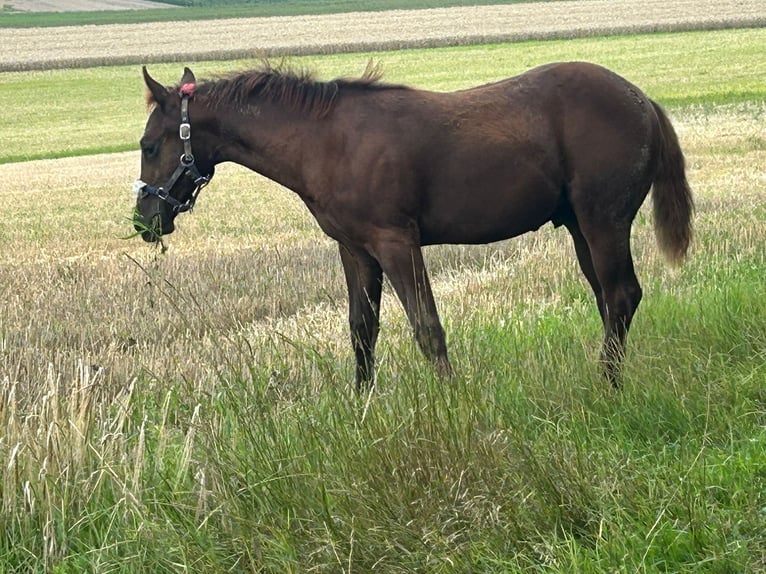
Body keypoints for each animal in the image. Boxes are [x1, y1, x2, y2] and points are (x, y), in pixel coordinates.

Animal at [132, 61, 693, 389]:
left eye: (149, 145)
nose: (145, 220)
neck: (327, 140)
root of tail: (643, 100)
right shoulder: (356, 249)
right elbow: (362, 330)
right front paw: (361, 408)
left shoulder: (396, 242)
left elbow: (427, 328)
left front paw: (452, 404)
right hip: (580, 227)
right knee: (609, 299)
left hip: (603, 221)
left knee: (621, 295)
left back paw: (608, 387)